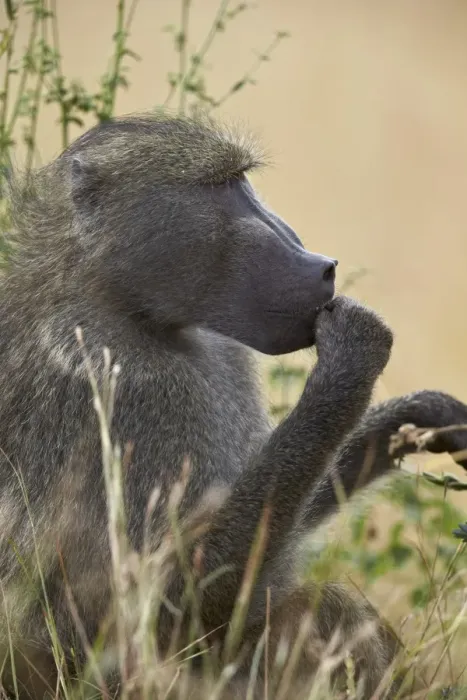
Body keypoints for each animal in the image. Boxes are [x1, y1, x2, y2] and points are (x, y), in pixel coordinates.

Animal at [0, 112, 467, 699]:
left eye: (243, 181)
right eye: (223, 186)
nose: (324, 266)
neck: (128, 310)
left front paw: (424, 415)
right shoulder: (116, 385)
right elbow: (171, 605)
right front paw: (354, 354)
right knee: (326, 609)